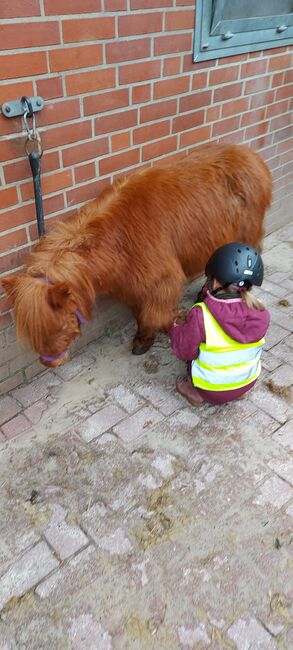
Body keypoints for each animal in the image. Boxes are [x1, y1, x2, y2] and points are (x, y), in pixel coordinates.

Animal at [2, 145, 272, 368]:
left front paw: (153, 335)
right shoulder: (133, 286)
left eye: (58, 324)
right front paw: (143, 339)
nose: (49, 363)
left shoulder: (161, 282)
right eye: (31, 332)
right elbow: (140, 313)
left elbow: (154, 314)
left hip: (248, 234)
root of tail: (251, 156)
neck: (117, 239)